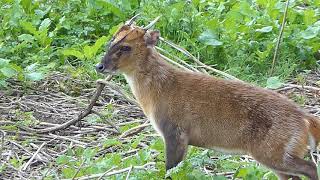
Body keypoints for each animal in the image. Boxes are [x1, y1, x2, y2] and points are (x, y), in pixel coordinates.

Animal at [95, 15, 320, 180]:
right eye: (110, 42)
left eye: (126, 47)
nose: (100, 66)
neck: (159, 91)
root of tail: (306, 119)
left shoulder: (175, 131)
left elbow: (170, 170)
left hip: (273, 150)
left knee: (310, 167)